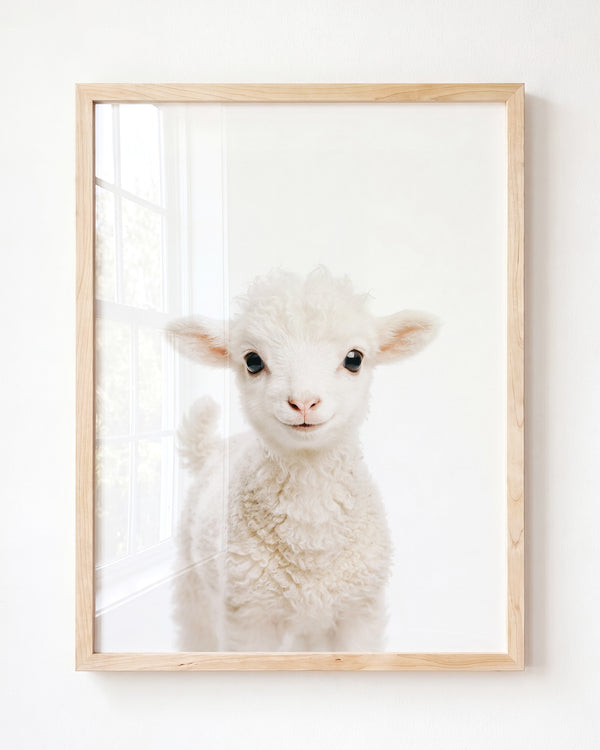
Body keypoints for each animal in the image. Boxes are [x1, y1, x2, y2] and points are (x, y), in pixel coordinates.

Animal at [168, 267, 438, 652]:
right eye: (253, 361)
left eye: (354, 358)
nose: (304, 402)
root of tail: (213, 448)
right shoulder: (249, 617)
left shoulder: (359, 611)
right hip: (195, 589)